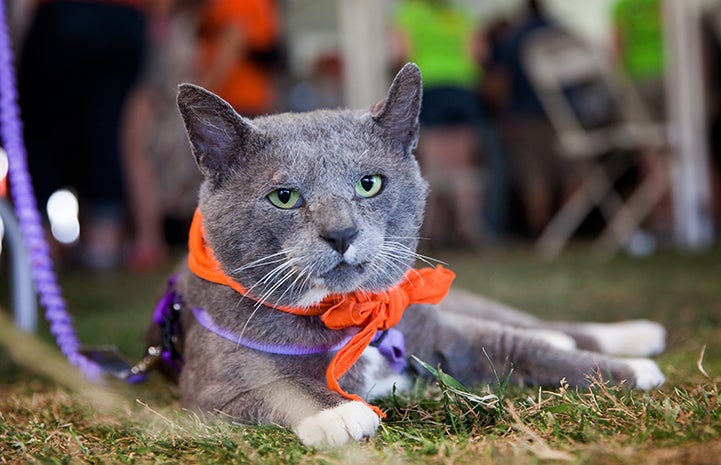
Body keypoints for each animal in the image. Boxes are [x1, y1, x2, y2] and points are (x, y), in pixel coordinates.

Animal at [152, 63, 664, 444]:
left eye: (369, 184)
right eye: (284, 197)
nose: (341, 232)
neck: (351, 314)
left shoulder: (438, 328)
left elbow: (517, 347)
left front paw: (631, 372)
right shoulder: (211, 384)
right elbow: (275, 387)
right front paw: (338, 413)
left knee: (535, 328)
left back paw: (634, 335)